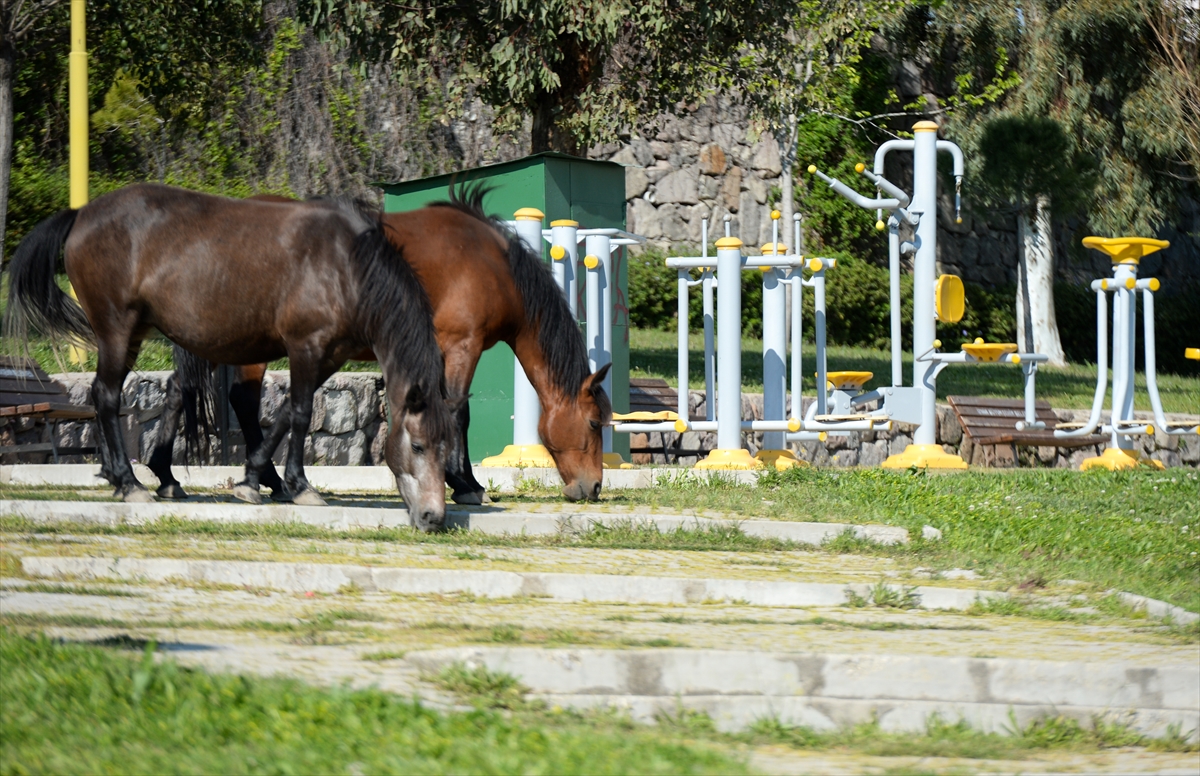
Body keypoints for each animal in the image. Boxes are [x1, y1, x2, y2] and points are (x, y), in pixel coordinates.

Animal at [5, 184, 458, 530]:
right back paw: (130, 482)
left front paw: (254, 477)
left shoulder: (329, 356)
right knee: (106, 396)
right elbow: (299, 413)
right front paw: (298, 485)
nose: (433, 517)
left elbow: (282, 415)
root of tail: (82, 214)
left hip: (134, 334)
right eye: (418, 446)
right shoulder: (305, 347)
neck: (345, 262)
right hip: (117, 332)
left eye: (445, 445)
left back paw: (140, 478)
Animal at [152, 184, 609, 506]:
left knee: (184, 390)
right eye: (593, 423)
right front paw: (464, 482)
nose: (593, 487)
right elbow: (458, 412)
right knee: (242, 400)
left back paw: (177, 476)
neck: (494, 266)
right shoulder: (463, 345)